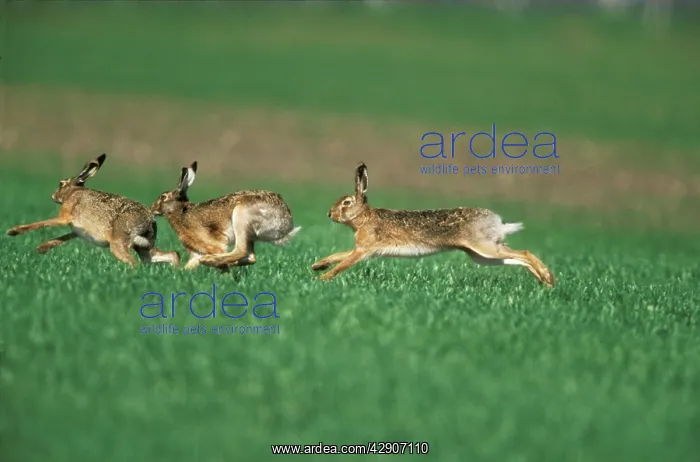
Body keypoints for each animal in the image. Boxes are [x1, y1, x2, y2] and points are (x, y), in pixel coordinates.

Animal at [6, 153, 180, 267]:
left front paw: (13, 232)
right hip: (144, 248)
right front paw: (42, 248)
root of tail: (149, 221)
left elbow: (43, 223)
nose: (53, 196)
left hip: (118, 243)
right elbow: (64, 236)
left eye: (61, 184)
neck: (74, 192)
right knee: (171, 254)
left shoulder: (64, 217)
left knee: (134, 263)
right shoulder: (77, 230)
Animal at [149, 161, 301, 271]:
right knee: (251, 256)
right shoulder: (197, 252)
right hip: (248, 232)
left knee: (241, 250)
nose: (152, 209)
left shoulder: (213, 244)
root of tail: (286, 223)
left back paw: (210, 261)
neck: (180, 210)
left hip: (241, 217)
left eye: (163, 197)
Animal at [311, 162, 556, 288]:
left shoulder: (363, 250)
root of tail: (497, 221)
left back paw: (547, 277)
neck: (364, 217)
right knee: (517, 257)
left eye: (346, 202)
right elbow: (338, 256)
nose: (329, 214)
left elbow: (344, 263)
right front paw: (317, 266)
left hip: (483, 247)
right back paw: (544, 281)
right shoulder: (364, 250)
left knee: (524, 252)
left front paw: (322, 279)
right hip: (482, 255)